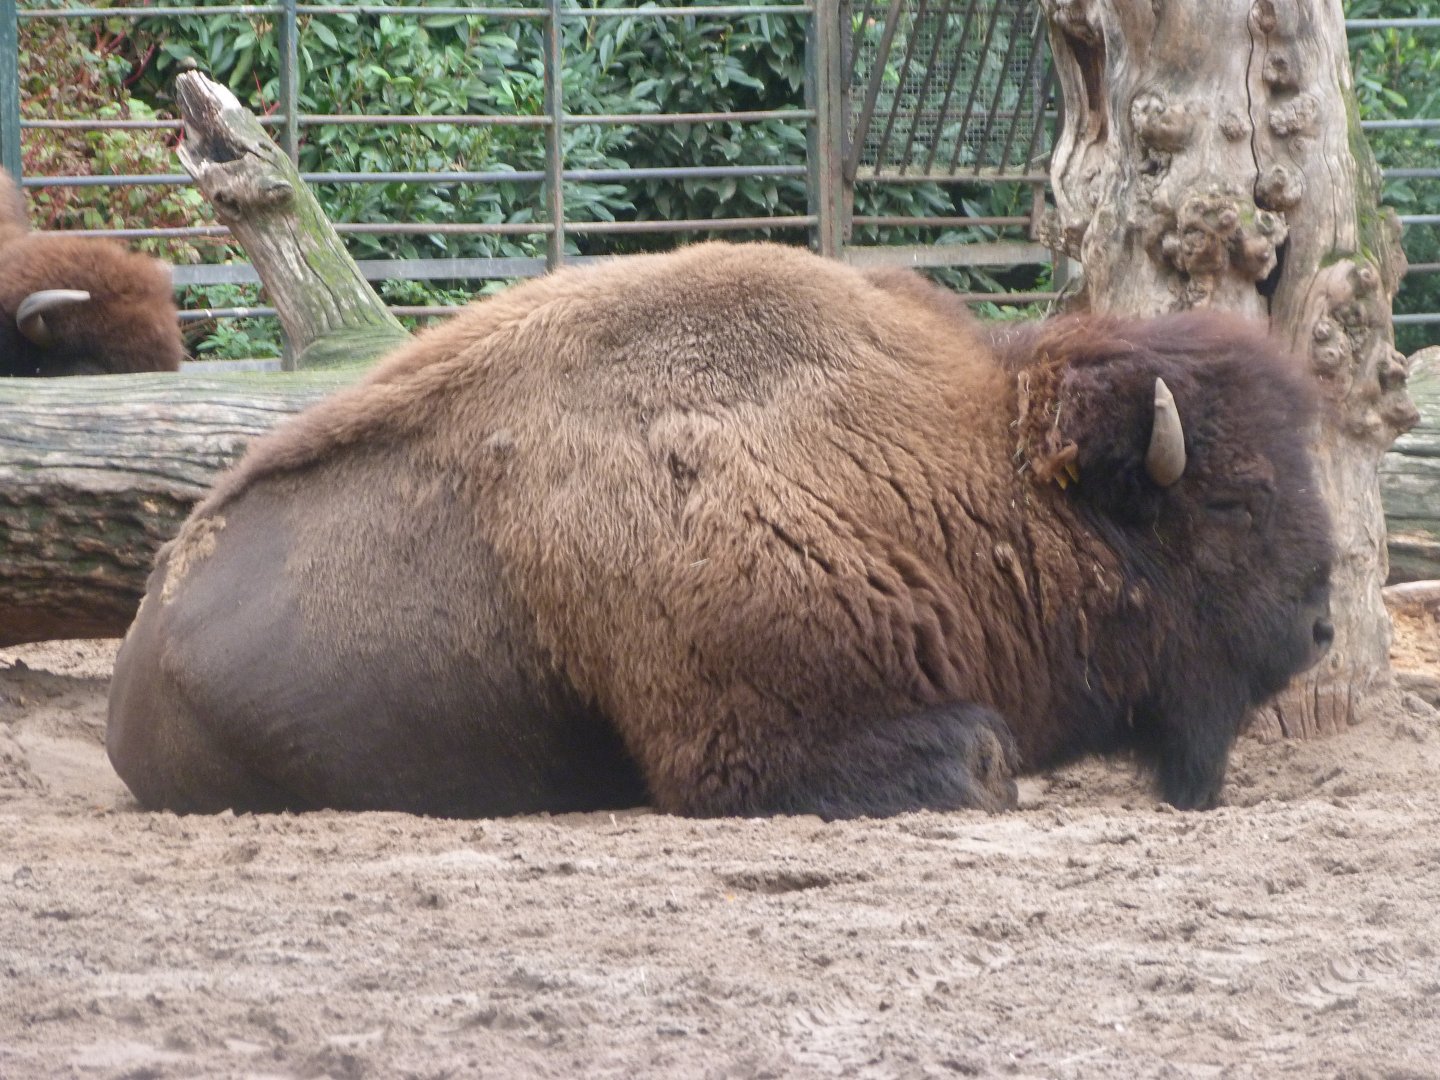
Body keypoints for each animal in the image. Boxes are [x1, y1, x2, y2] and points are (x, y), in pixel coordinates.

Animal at [106, 241, 1334, 819]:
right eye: (1235, 501)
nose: (1321, 625)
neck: (960, 460)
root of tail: (137, 644)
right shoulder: (753, 734)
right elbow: (978, 759)